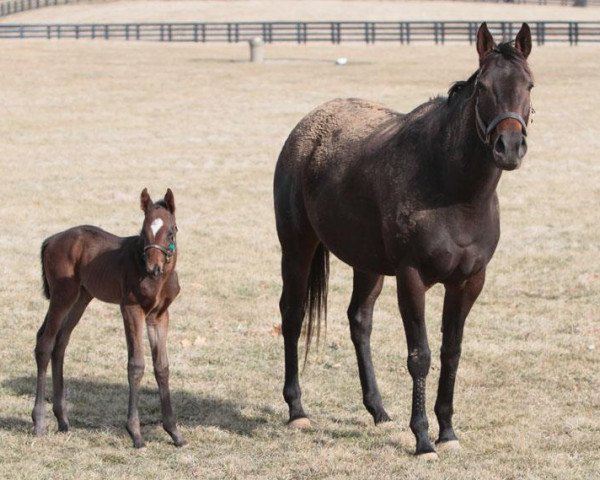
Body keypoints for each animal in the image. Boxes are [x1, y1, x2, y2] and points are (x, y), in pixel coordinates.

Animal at [32, 189, 185, 448]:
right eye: (143, 232)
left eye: (171, 231)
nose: (153, 268)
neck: (159, 280)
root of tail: (51, 240)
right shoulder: (131, 309)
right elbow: (136, 364)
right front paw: (135, 433)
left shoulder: (159, 315)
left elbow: (162, 367)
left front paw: (174, 432)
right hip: (63, 295)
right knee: (45, 342)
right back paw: (39, 422)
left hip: (82, 297)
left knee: (60, 343)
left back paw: (62, 419)